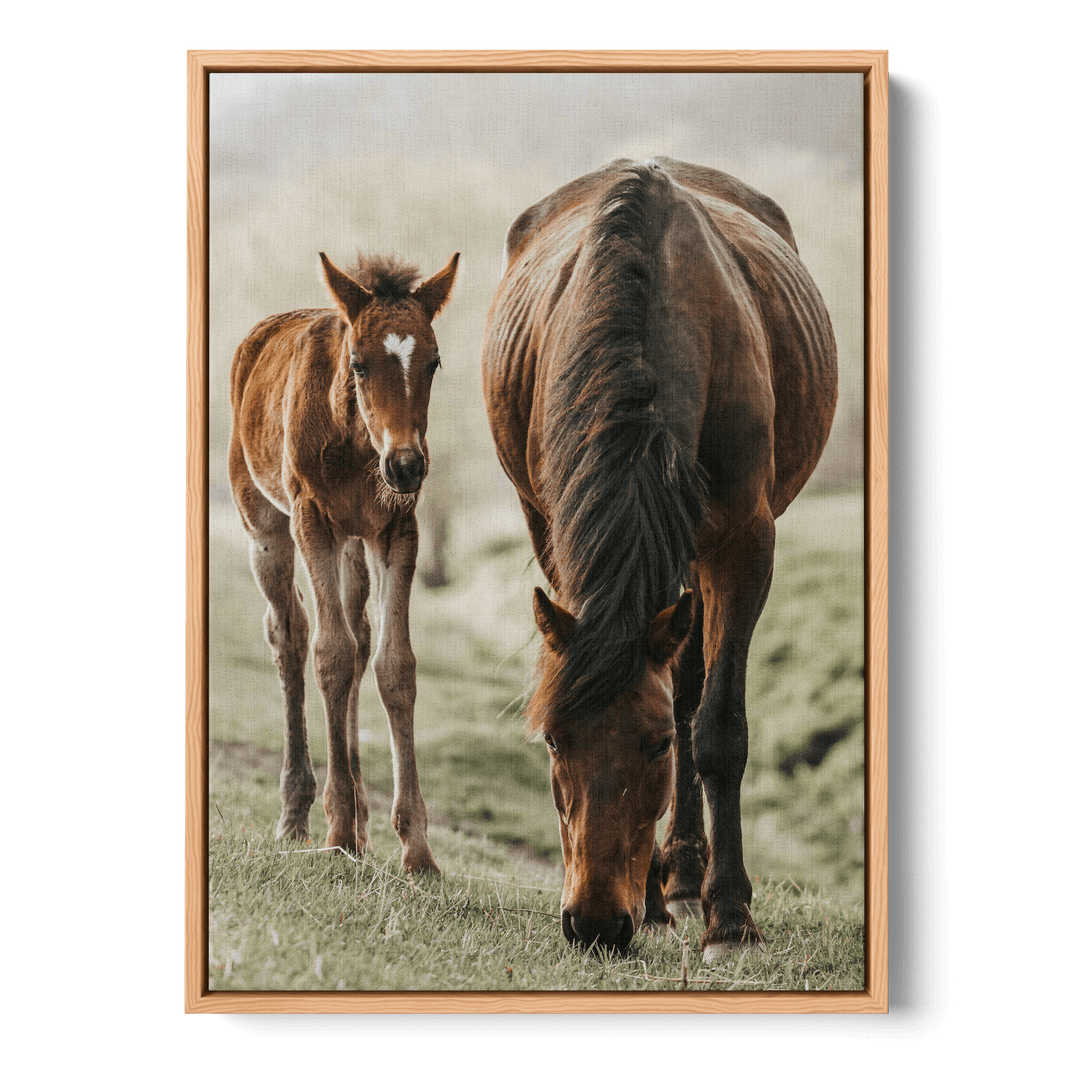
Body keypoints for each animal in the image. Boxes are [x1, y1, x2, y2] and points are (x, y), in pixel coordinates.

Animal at [229, 249, 459, 873]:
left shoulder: (396, 529)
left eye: (433, 363)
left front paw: (416, 848)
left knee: (359, 638)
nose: (406, 466)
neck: (359, 447)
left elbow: (393, 665)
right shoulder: (313, 520)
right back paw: (298, 814)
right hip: (266, 526)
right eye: (358, 364)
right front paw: (335, 831)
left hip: (355, 546)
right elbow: (328, 653)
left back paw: (359, 818)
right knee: (289, 633)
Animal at [481, 158, 837, 957]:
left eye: (653, 749)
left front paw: (729, 918)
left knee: (691, 689)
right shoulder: (556, 534)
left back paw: (691, 879)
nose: (594, 923)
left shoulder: (744, 542)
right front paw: (650, 897)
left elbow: (715, 727)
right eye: (554, 741)